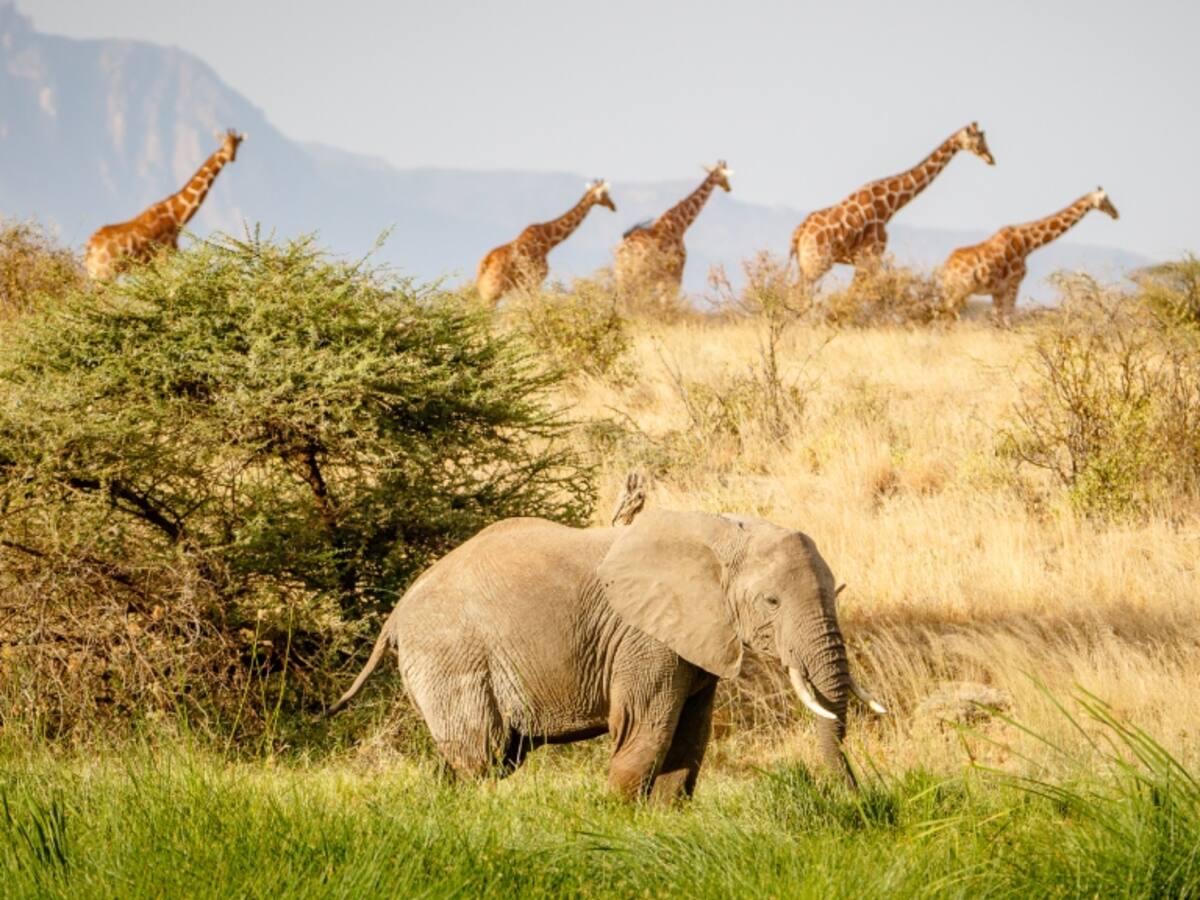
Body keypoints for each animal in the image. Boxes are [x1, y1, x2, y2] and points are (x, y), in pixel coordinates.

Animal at [328, 509, 886, 801]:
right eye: (771, 602)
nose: (859, 802)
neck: (724, 533)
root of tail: (397, 614)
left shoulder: (696, 639)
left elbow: (691, 734)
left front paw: (664, 821)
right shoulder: (646, 638)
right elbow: (646, 726)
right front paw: (616, 818)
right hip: (450, 652)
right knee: (481, 752)